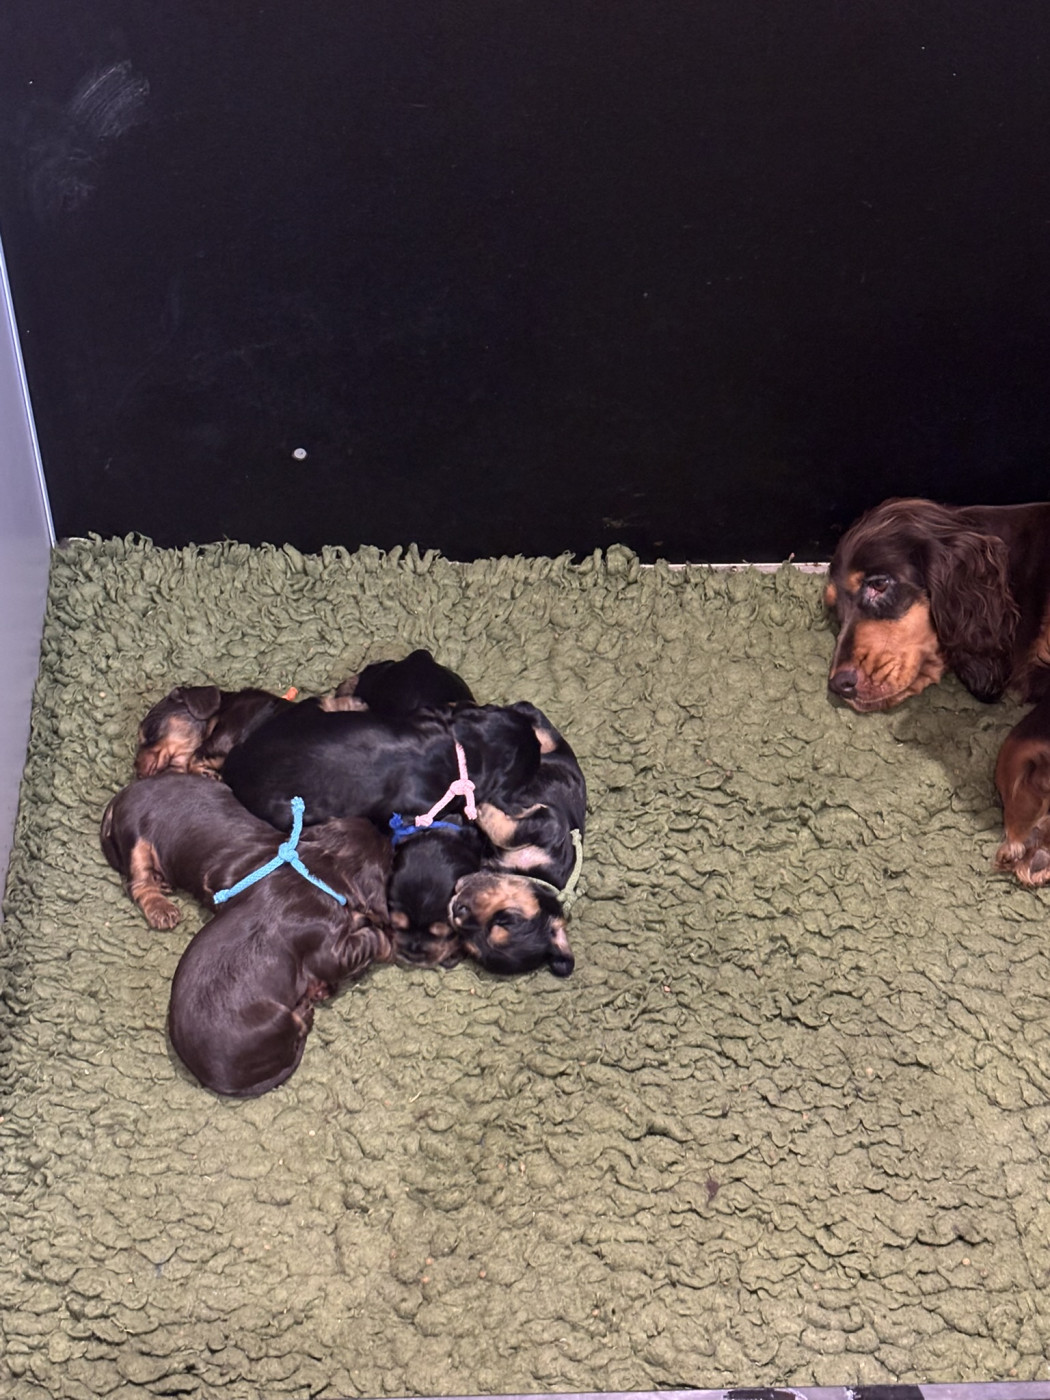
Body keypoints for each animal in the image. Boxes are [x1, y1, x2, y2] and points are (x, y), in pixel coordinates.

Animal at [101, 773, 395, 1095]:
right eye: (388, 853)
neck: (318, 868)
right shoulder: (331, 948)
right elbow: (365, 942)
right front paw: (386, 941)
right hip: (137, 842)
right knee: (138, 883)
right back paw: (161, 908)